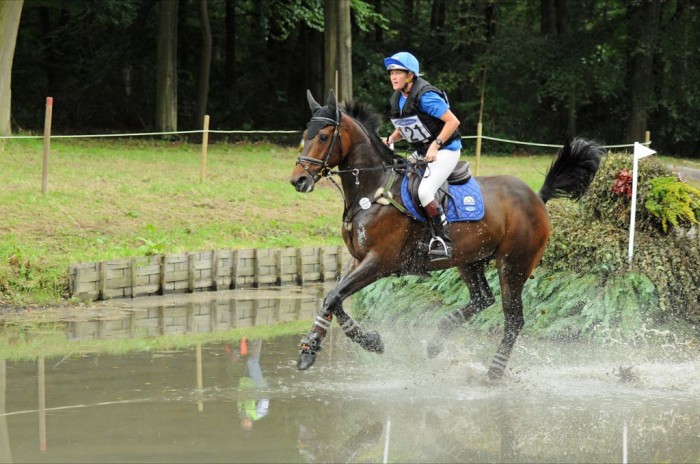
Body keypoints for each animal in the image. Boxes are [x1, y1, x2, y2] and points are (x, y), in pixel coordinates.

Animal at [290, 90, 603, 380]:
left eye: (324, 136)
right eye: (305, 135)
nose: (298, 180)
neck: (373, 190)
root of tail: (537, 197)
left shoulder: (379, 262)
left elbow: (335, 297)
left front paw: (367, 342)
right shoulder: (358, 259)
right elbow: (332, 299)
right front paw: (313, 350)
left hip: (514, 266)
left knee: (513, 318)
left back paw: (494, 371)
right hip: (470, 260)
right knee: (482, 298)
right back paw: (437, 339)